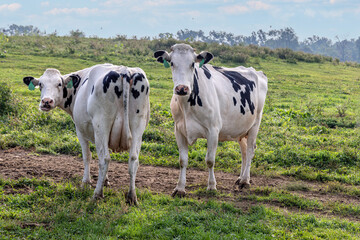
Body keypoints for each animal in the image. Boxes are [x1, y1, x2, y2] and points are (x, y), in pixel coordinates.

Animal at [22, 63, 150, 204]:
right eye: (41, 84)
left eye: (59, 84)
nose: (46, 101)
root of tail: (124, 70)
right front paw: (105, 180)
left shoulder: (80, 131)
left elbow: (87, 156)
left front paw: (86, 182)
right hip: (138, 127)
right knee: (133, 159)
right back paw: (132, 196)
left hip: (101, 125)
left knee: (104, 159)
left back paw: (97, 195)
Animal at [154, 43, 268, 197]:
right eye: (172, 63)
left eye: (192, 64)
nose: (182, 88)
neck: (187, 106)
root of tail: (256, 71)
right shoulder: (179, 130)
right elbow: (182, 160)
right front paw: (180, 188)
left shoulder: (213, 130)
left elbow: (210, 160)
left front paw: (212, 186)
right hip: (241, 128)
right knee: (244, 151)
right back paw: (241, 178)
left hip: (255, 124)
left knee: (250, 150)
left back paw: (245, 181)